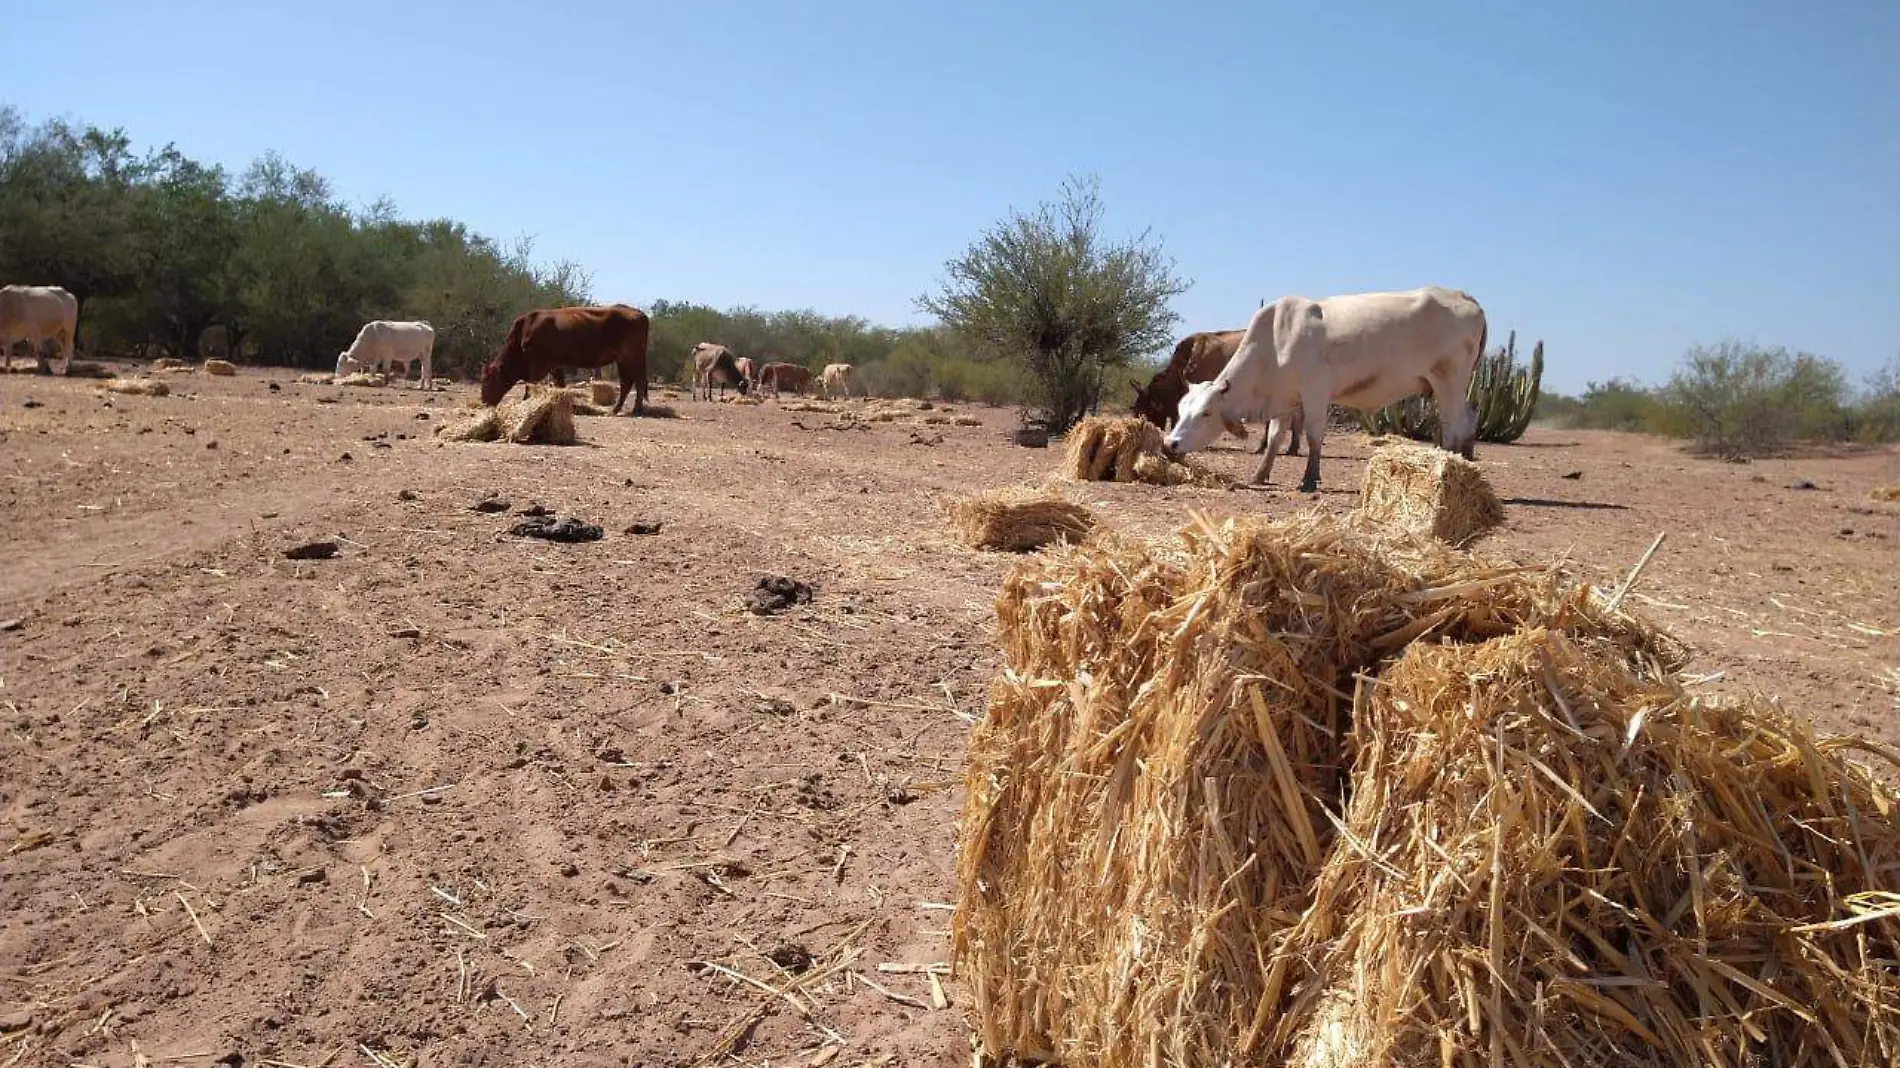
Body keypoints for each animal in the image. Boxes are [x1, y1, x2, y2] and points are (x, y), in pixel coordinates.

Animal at [478, 304, 649, 416]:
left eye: (487, 381)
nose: (484, 402)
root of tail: (639, 313)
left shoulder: (536, 365)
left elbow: (530, 385)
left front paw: (526, 402)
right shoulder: (555, 366)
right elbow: (560, 385)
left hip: (630, 358)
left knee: (635, 382)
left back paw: (629, 410)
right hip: (625, 360)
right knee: (630, 383)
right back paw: (623, 409)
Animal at [1162, 285, 1489, 490]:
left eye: (1205, 413)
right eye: (1180, 409)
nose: (1170, 444)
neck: (1275, 342)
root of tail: (1464, 296)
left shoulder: (1316, 392)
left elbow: (1313, 435)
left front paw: (1309, 479)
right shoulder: (1286, 399)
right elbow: (1274, 437)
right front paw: (1260, 474)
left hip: (1448, 383)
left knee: (1454, 425)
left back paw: (1447, 465)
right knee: (1469, 419)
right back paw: (1466, 461)